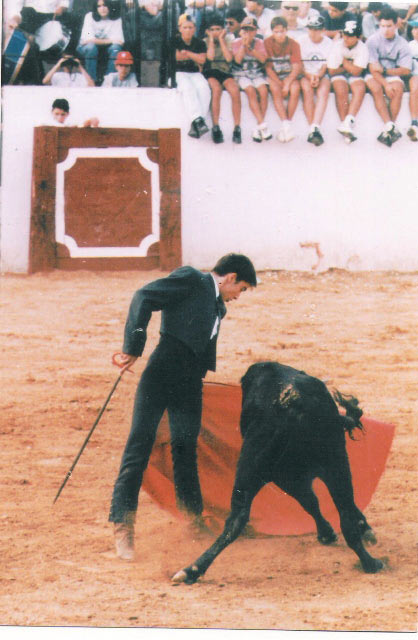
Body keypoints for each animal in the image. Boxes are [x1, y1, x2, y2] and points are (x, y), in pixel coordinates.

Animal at [173, 360, 386, 584]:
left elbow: (311, 502)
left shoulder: (287, 478)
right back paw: (370, 562)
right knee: (344, 513)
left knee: (236, 519)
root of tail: (295, 408)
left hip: (257, 469)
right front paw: (343, 531)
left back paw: (192, 569)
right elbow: (318, 503)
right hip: (333, 463)